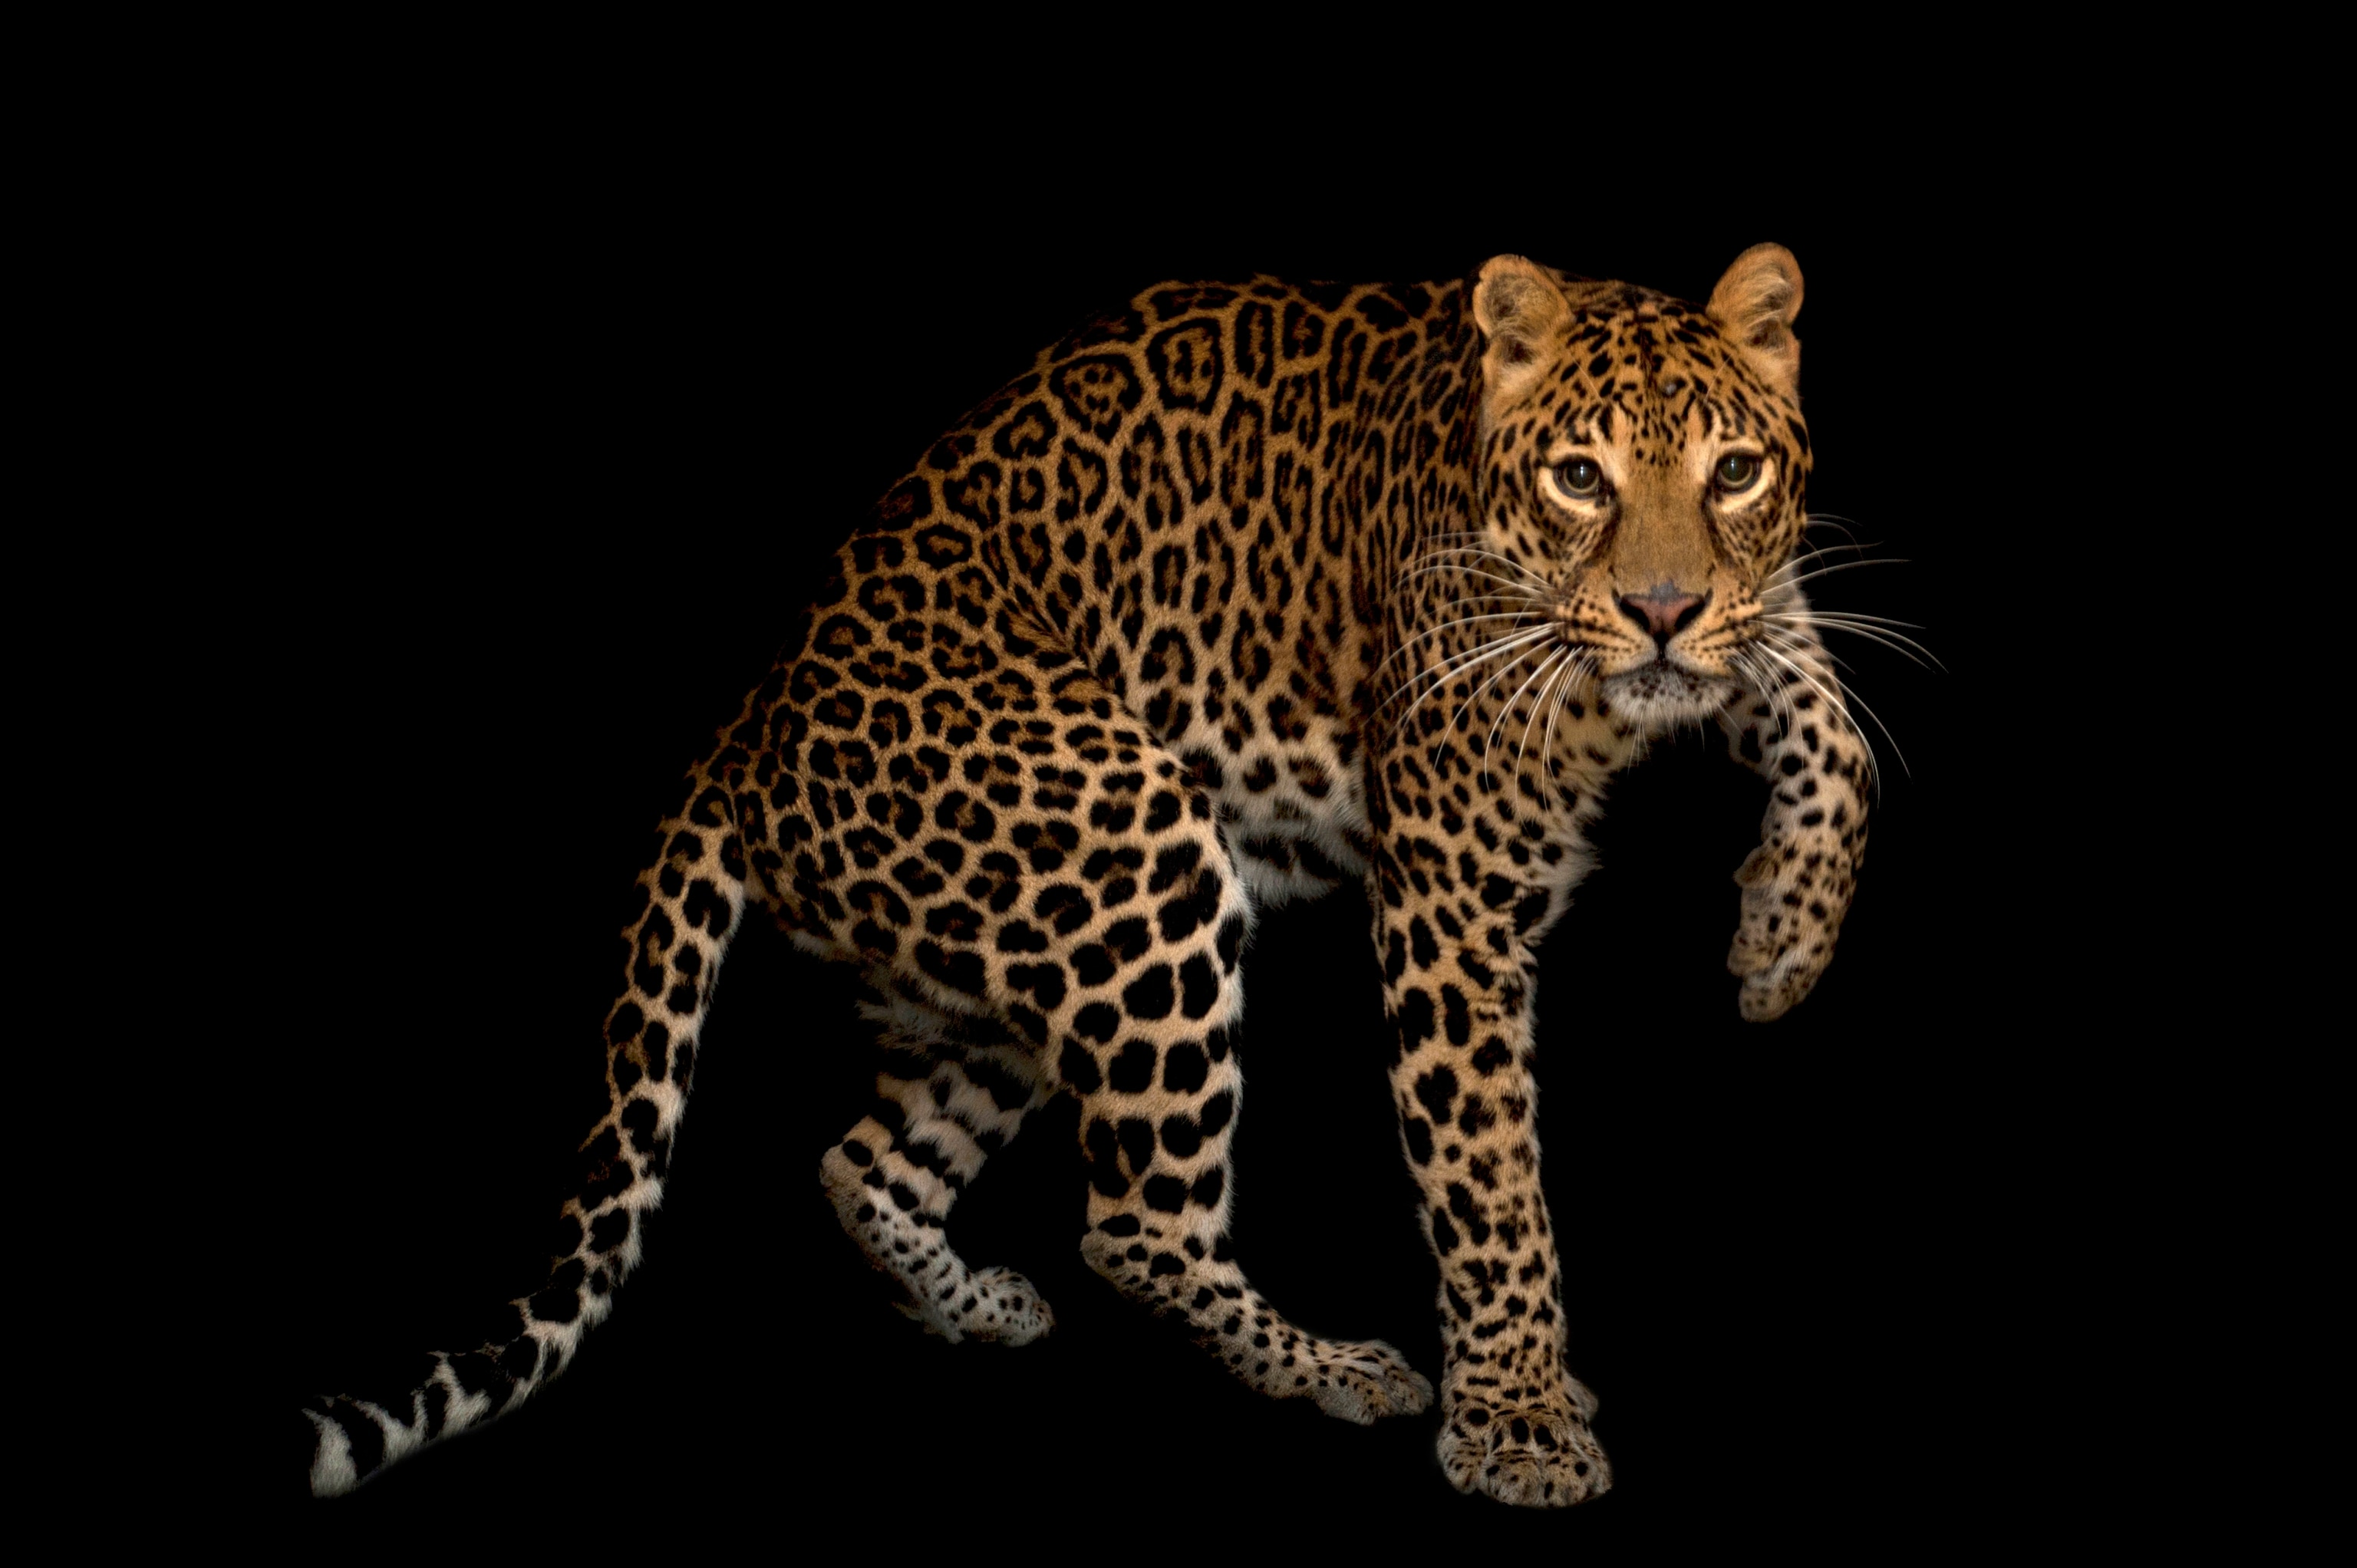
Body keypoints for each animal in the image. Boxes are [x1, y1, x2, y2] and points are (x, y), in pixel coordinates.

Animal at [301, 244, 1873, 1509]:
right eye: (1577, 478)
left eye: (1733, 472)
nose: (1658, 608)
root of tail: (748, 730)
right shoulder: (1448, 900)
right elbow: (1488, 1179)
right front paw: (1517, 1422)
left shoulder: (1741, 625)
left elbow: (1824, 706)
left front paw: (1779, 942)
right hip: (1140, 847)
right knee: (1131, 1225)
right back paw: (1335, 1365)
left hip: (1009, 963)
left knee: (863, 1159)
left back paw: (975, 1308)